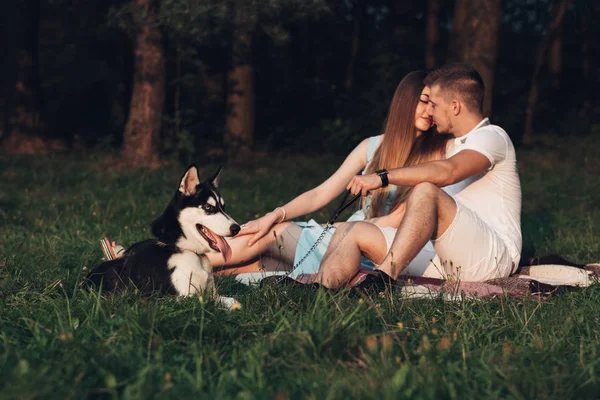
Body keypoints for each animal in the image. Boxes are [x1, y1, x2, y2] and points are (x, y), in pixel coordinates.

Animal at [87, 163, 241, 306]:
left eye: (223, 207)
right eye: (208, 207)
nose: (237, 228)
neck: (185, 250)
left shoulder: (211, 293)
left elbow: (233, 301)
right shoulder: (178, 298)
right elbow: (207, 301)